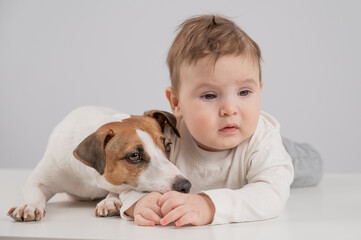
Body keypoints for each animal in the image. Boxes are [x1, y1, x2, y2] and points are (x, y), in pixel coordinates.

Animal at [7, 106, 190, 222]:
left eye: (167, 146)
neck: (90, 179)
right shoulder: (40, 178)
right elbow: (34, 191)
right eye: (135, 156)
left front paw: (110, 201)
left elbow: (116, 190)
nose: (185, 185)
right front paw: (29, 206)